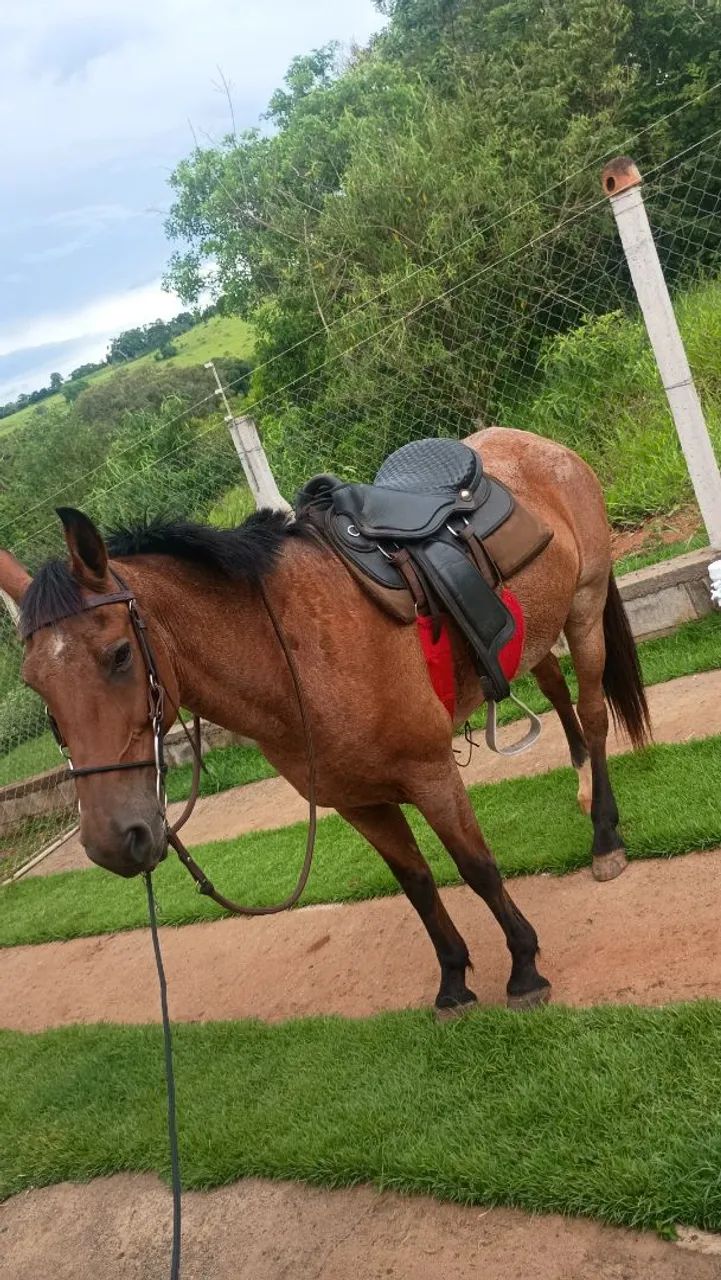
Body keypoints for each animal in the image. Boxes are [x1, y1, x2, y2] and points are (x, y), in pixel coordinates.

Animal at [0, 427, 649, 1017]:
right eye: (35, 684)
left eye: (118, 654)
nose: (114, 839)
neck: (295, 653)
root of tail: (537, 443)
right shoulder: (356, 801)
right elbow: (416, 883)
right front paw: (453, 982)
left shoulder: (431, 775)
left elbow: (477, 868)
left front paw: (523, 968)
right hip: (531, 631)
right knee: (558, 694)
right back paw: (583, 786)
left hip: (584, 607)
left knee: (593, 715)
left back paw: (604, 835)